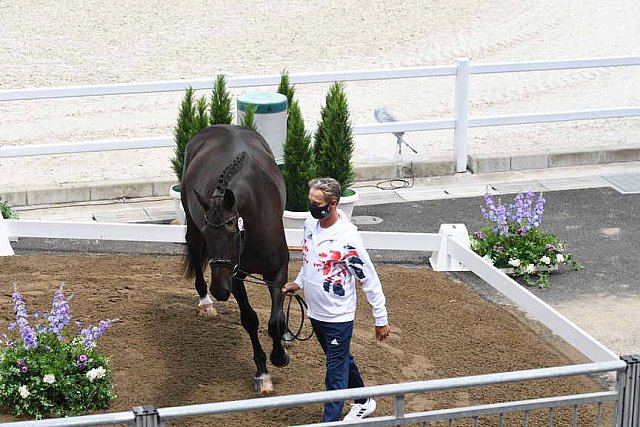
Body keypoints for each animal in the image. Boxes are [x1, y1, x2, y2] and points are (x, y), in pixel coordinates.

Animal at [181, 124, 288, 394]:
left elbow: (276, 321)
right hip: (192, 230)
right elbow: (250, 319)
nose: (219, 290)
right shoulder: (235, 275)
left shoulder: (277, 271)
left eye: (231, 233)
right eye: (209, 233)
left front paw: (280, 354)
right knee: (195, 254)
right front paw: (262, 373)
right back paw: (205, 302)